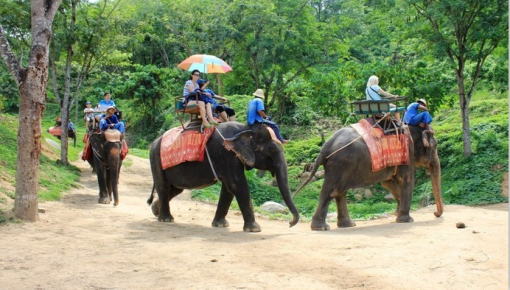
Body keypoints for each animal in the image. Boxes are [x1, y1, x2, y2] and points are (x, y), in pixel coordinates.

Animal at [147, 121, 298, 232]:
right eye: (272, 150)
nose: (290, 223)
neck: (246, 128)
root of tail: (154, 141)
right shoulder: (226, 153)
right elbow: (237, 184)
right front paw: (255, 229)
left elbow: (228, 189)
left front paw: (220, 225)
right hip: (156, 158)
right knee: (163, 186)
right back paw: (166, 219)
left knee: (175, 189)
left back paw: (156, 211)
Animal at [294, 124, 442, 231]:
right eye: (434, 146)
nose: (435, 214)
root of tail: (327, 144)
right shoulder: (406, 154)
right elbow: (406, 181)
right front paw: (406, 220)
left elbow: (387, 183)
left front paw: (397, 213)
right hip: (340, 164)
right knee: (331, 191)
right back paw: (321, 228)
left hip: (341, 167)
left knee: (340, 192)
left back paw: (347, 225)